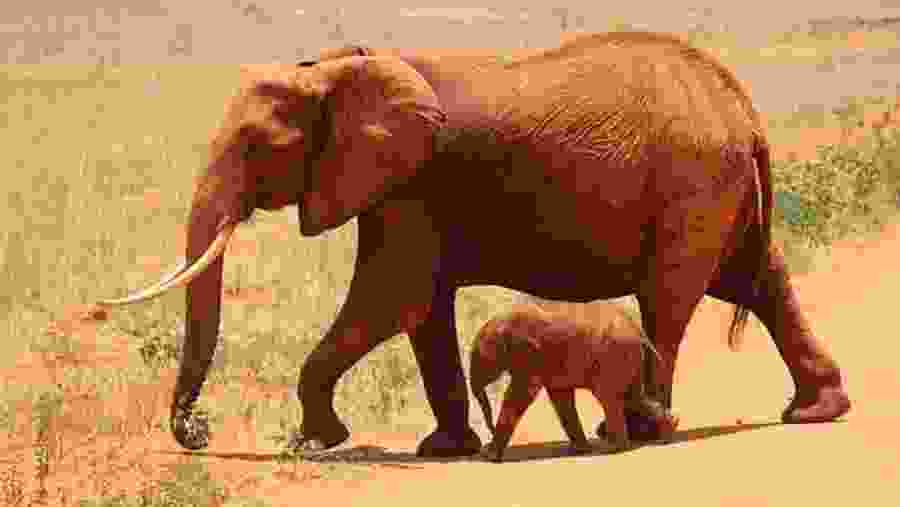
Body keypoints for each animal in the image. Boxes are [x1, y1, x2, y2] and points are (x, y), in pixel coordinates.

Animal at [470, 302, 680, 463]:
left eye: (480, 358)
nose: (487, 435)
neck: (504, 321)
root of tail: (639, 332)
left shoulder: (533, 358)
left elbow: (520, 395)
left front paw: (489, 456)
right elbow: (561, 398)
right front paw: (580, 450)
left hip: (615, 355)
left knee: (609, 397)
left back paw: (613, 448)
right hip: (626, 357)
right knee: (633, 396)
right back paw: (668, 432)